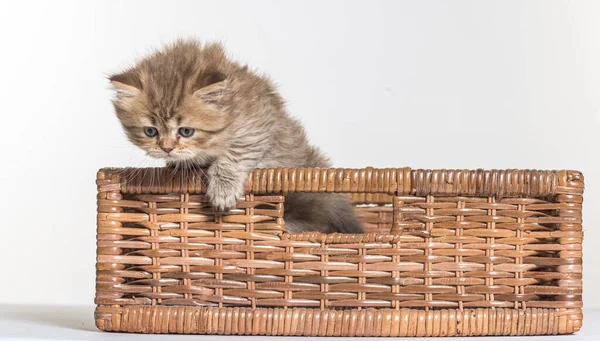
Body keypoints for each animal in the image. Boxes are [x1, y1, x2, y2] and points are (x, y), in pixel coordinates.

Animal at [108, 38, 360, 232]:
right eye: (151, 131)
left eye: (186, 131)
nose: (167, 148)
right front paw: (177, 164)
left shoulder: (259, 125)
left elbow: (235, 155)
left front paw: (222, 189)